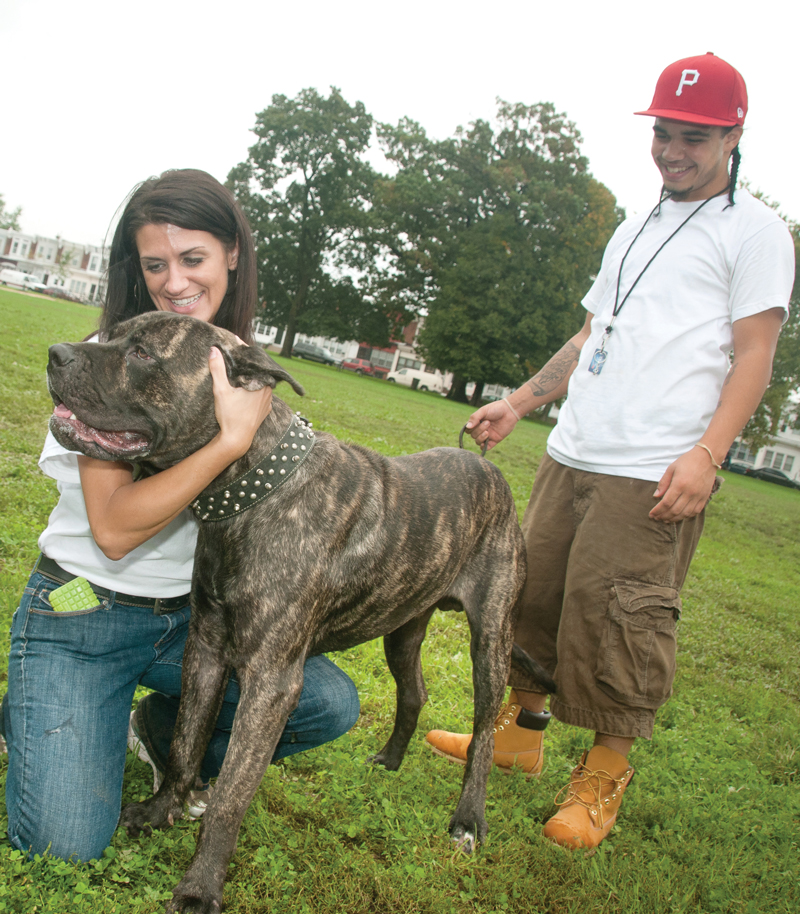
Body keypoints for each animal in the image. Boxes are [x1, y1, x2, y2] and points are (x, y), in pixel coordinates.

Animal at [47, 310, 552, 908]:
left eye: (144, 353)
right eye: (113, 333)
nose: (56, 354)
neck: (248, 490)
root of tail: (485, 466)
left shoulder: (270, 682)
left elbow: (230, 794)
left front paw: (200, 886)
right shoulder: (207, 650)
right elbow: (187, 742)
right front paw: (159, 811)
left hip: (491, 640)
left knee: (483, 735)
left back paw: (468, 820)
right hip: (403, 626)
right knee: (414, 691)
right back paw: (391, 759)